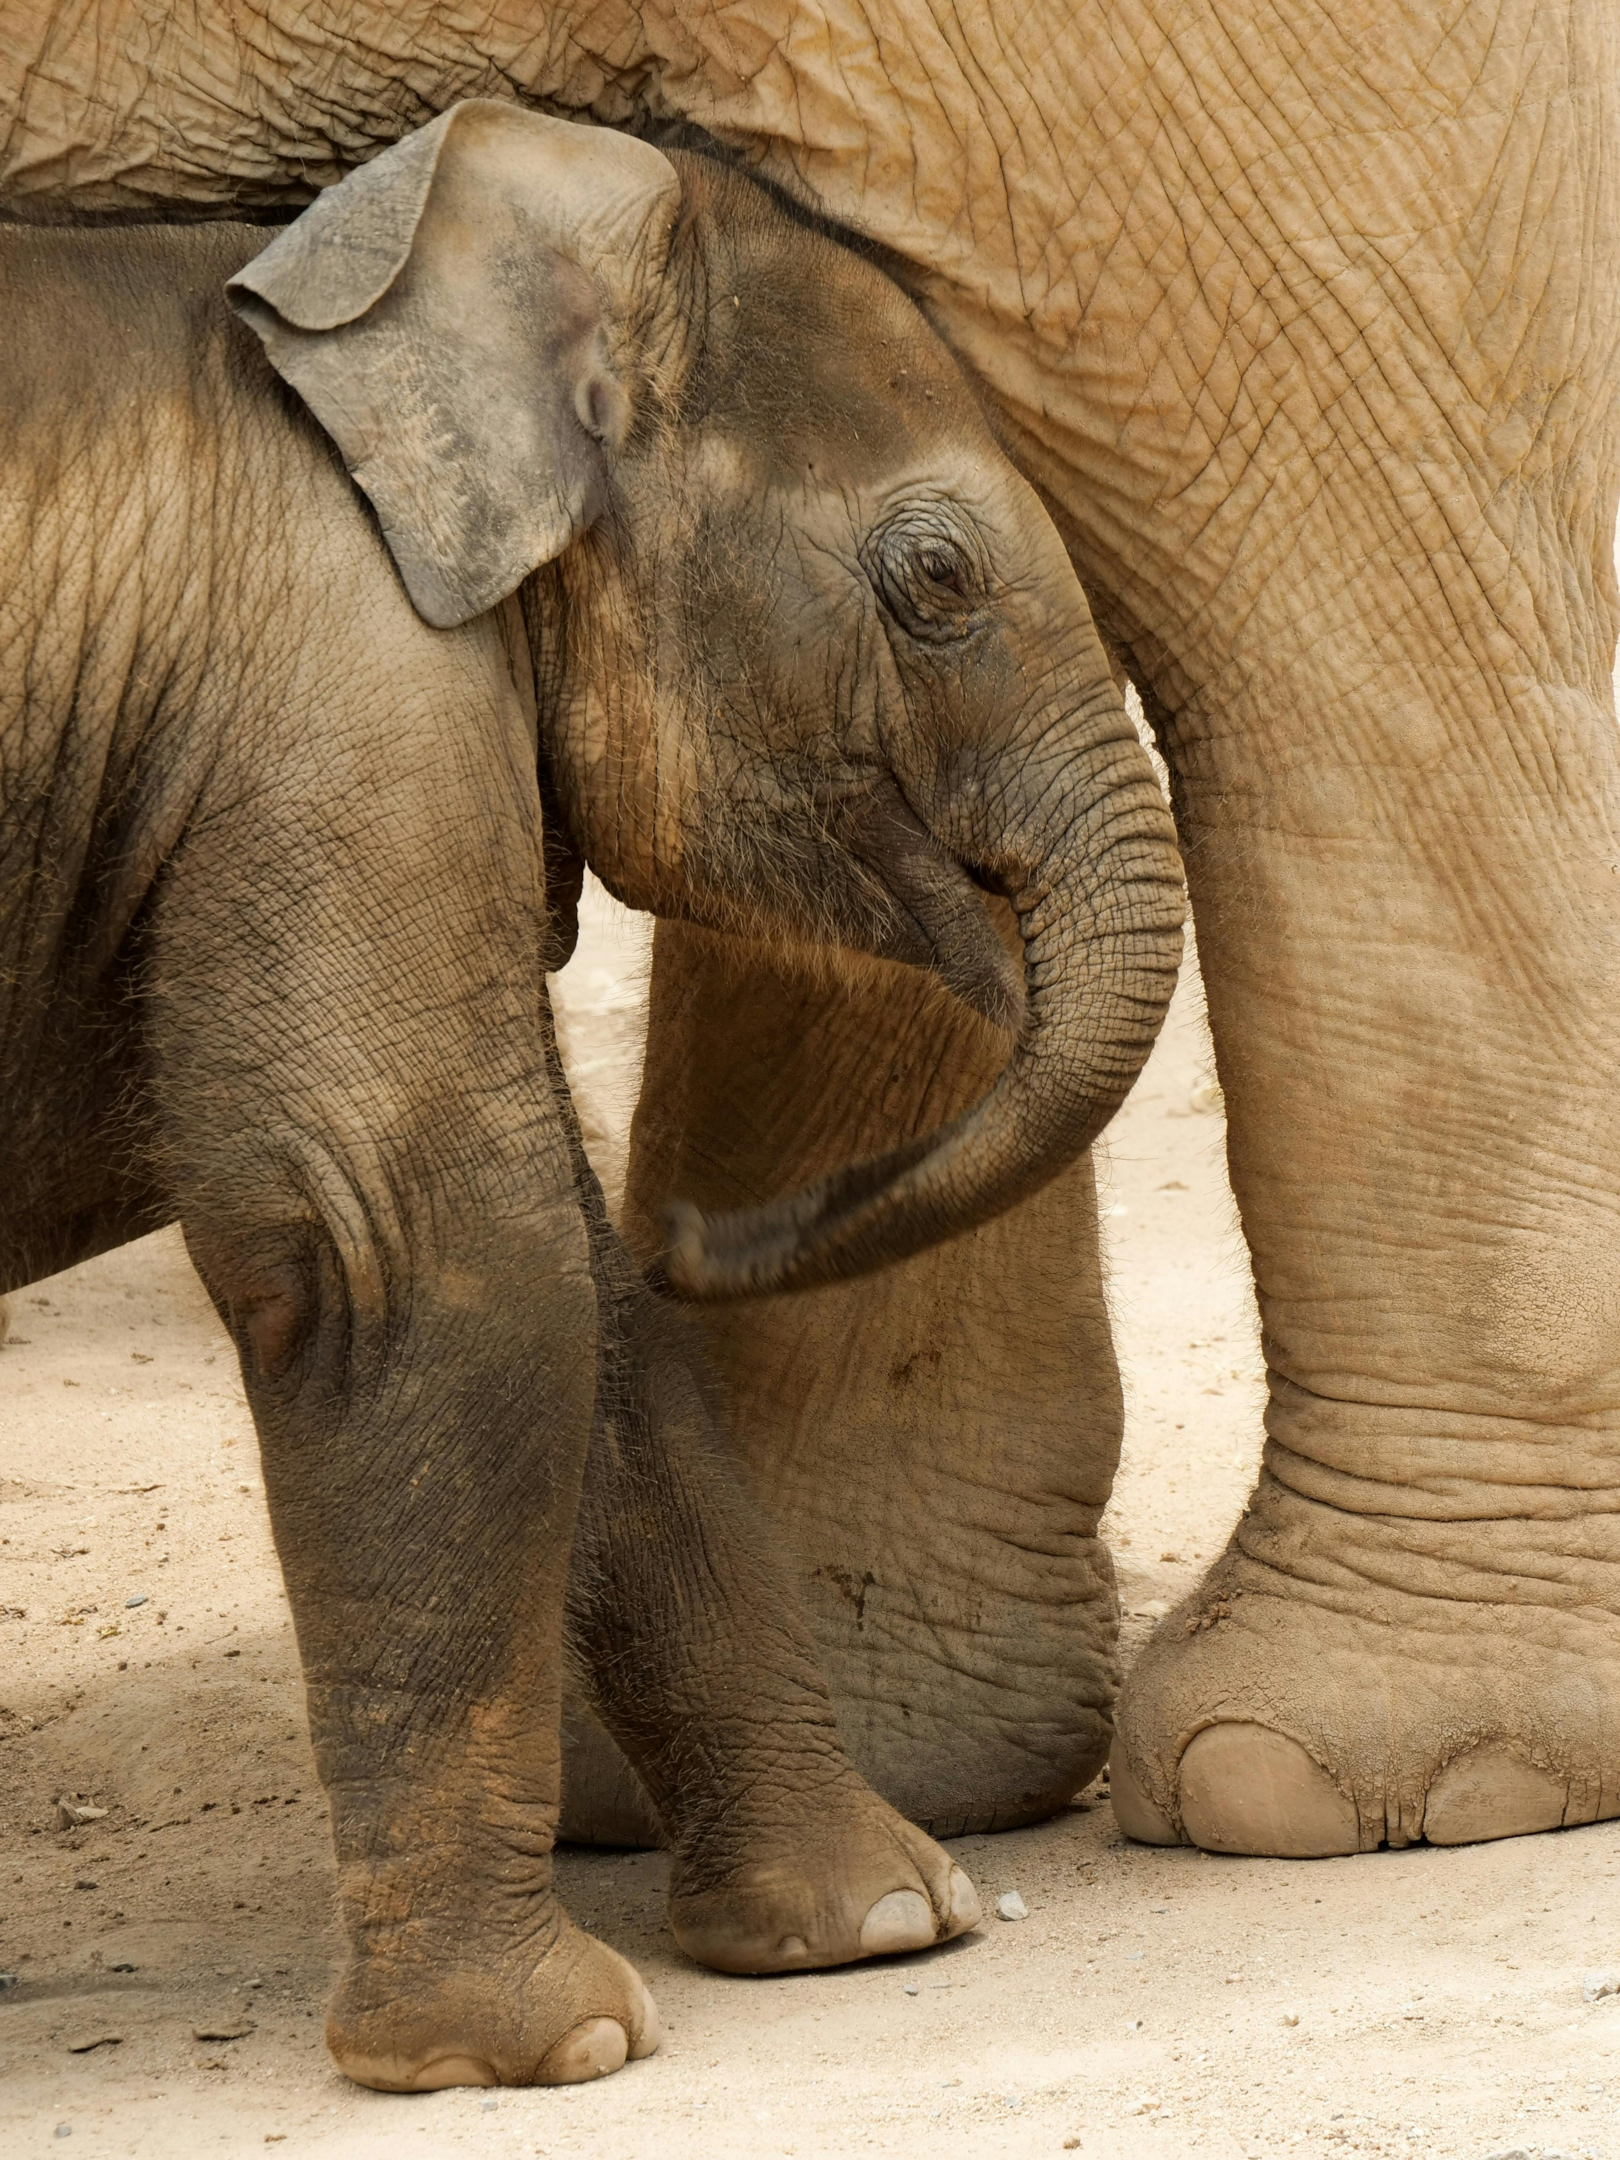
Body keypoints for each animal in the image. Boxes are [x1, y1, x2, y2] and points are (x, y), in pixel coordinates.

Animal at [0, 104, 1184, 2084]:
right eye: (937, 581)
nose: (719, 1217)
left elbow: (591, 1297)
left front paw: (878, 1925)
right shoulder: (334, 692)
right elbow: (425, 1249)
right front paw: (538, 2052)